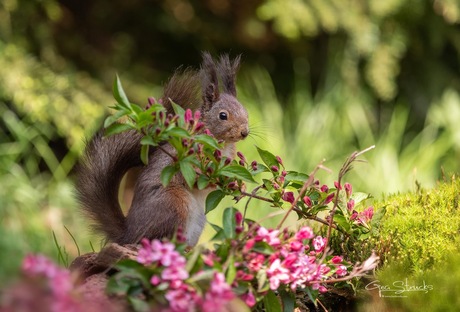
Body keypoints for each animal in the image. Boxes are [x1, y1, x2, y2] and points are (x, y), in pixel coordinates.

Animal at [75, 51, 248, 246]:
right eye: (223, 115)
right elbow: (195, 179)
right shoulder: (188, 159)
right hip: (174, 204)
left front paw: (240, 185)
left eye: (245, 111)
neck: (222, 144)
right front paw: (217, 178)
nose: (245, 132)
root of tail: (129, 234)